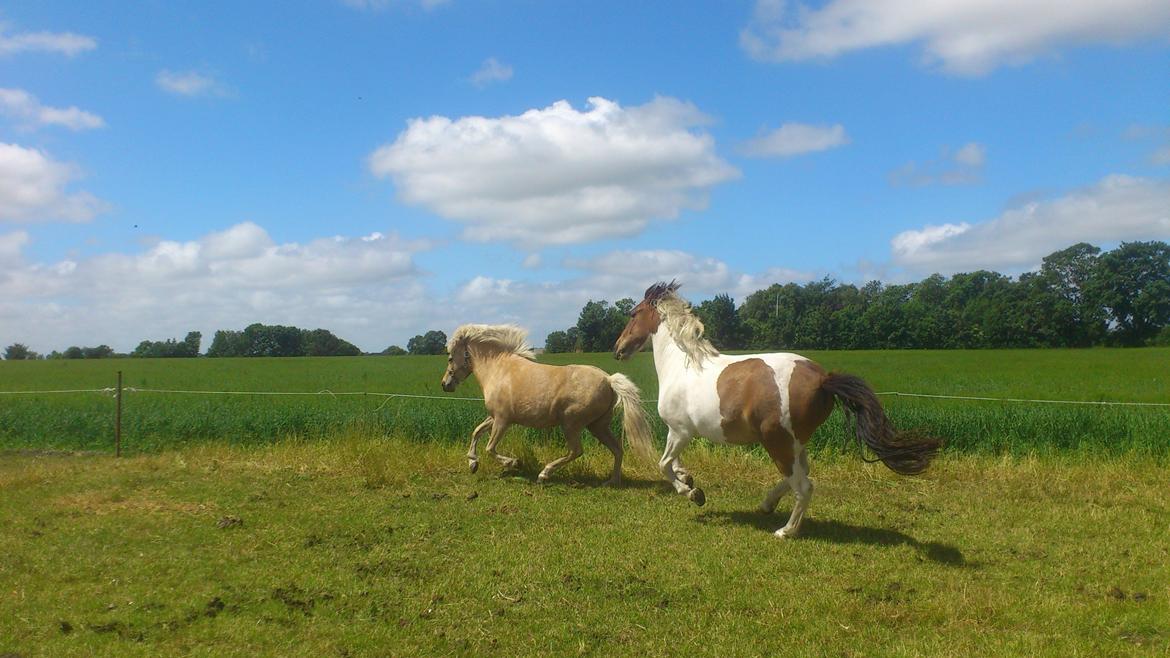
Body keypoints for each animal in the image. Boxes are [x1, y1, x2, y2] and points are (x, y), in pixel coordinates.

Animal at [439, 320, 659, 482]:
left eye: (449, 358)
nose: (445, 384)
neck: (498, 369)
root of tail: (609, 379)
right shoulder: (494, 417)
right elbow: (476, 432)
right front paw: (472, 463)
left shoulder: (502, 420)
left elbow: (490, 448)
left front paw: (513, 463)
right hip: (598, 426)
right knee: (617, 449)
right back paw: (612, 481)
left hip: (572, 424)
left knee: (576, 451)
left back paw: (544, 474)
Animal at [613, 278, 940, 536]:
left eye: (633, 313)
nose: (618, 349)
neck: (684, 365)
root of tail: (823, 379)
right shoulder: (678, 433)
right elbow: (674, 464)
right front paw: (690, 480)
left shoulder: (680, 431)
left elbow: (663, 464)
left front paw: (693, 493)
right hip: (794, 442)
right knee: (801, 475)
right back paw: (767, 505)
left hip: (777, 440)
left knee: (804, 485)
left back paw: (786, 531)